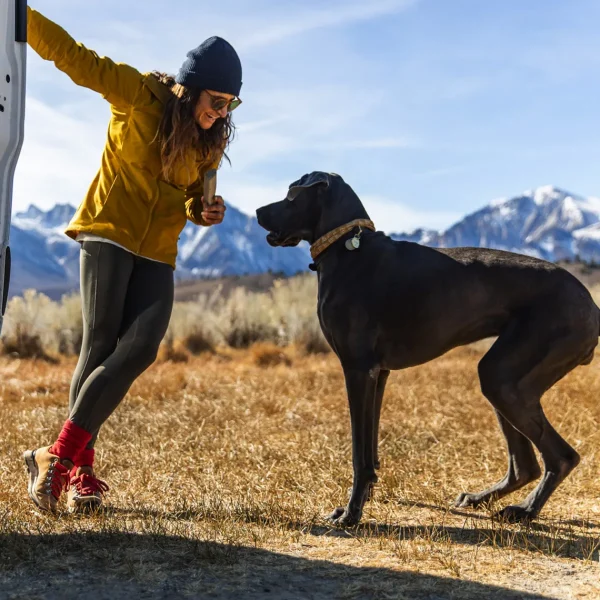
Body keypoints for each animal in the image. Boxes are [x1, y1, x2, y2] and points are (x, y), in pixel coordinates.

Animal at [255, 172, 596, 524]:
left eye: (292, 195)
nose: (257, 211)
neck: (348, 248)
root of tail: (590, 303)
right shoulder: (379, 373)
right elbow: (370, 450)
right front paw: (366, 497)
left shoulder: (358, 369)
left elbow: (359, 453)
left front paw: (351, 513)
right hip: (504, 381)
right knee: (525, 467)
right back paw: (481, 498)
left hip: (507, 378)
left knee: (562, 457)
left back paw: (525, 510)